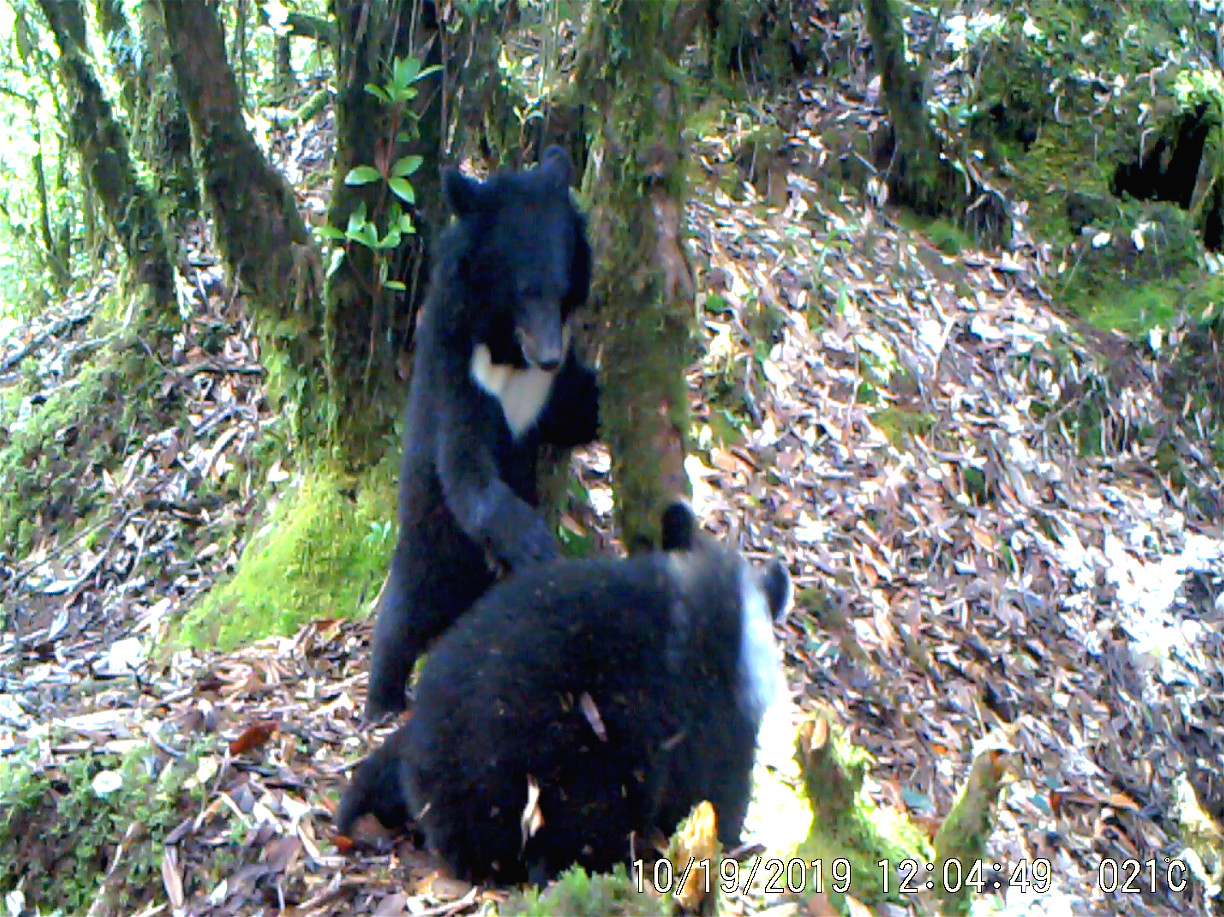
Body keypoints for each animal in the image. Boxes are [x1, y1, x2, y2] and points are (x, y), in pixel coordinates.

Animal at [367, 146, 602, 719]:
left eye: (561, 288)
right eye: (523, 290)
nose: (550, 354)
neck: (507, 352)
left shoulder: (547, 393)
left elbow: (577, 411)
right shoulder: (456, 374)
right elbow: (465, 466)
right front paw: (532, 539)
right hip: (425, 558)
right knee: (397, 626)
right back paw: (383, 700)